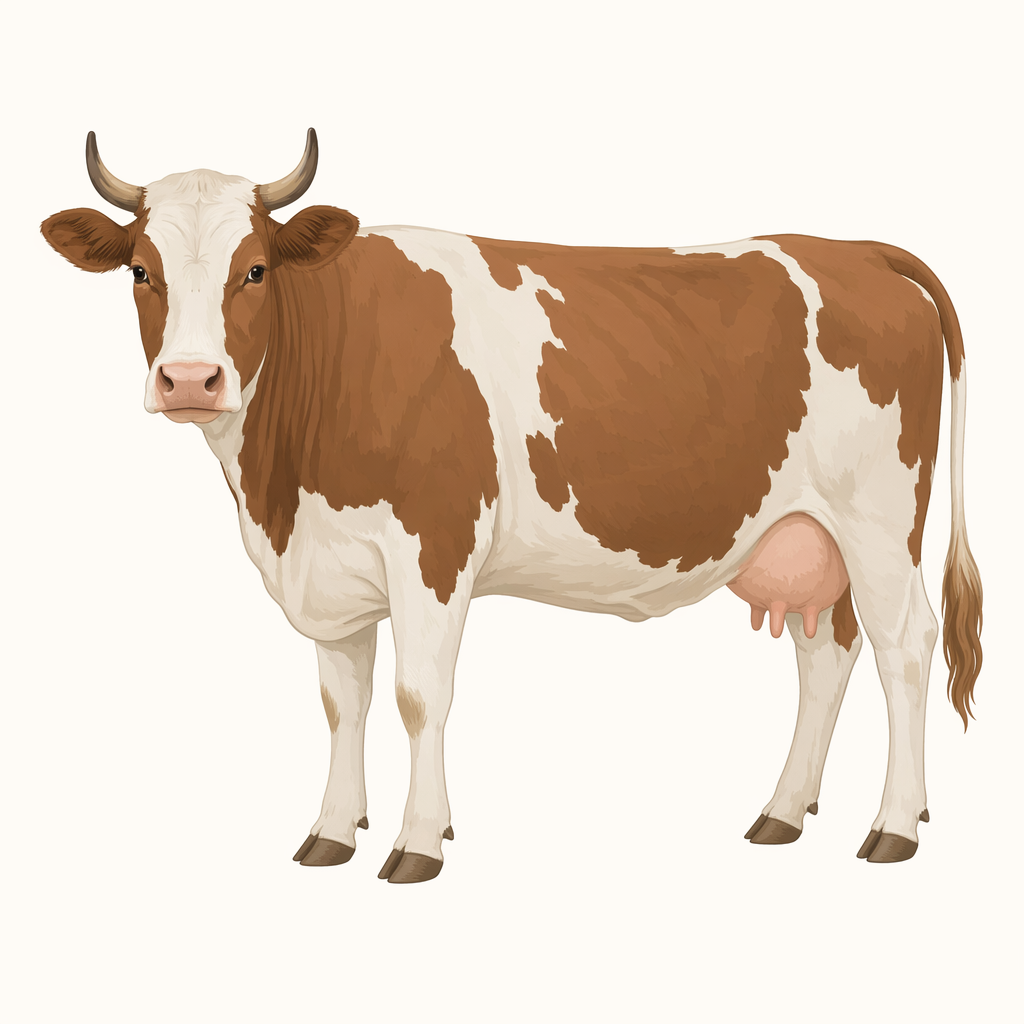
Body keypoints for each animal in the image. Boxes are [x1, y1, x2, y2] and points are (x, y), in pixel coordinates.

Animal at [41, 129, 982, 882]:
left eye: (256, 270)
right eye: (140, 271)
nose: (190, 380)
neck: (281, 490)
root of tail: (860, 251)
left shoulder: (433, 544)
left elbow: (418, 695)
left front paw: (418, 843)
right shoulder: (330, 565)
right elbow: (344, 702)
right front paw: (333, 833)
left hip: (878, 522)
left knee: (905, 647)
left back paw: (894, 827)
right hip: (806, 535)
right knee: (826, 655)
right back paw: (782, 813)